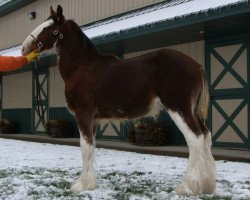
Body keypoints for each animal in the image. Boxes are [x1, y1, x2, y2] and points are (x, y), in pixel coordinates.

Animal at [22, 5, 216, 196]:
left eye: (48, 28)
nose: (24, 48)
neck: (81, 66)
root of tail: (197, 66)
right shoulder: (93, 120)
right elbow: (91, 147)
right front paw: (90, 184)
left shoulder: (83, 114)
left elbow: (84, 147)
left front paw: (81, 185)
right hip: (192, 112)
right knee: (206, 136)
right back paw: (206, 185)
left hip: (179, 109)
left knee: (195, 140)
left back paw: (187, 187)